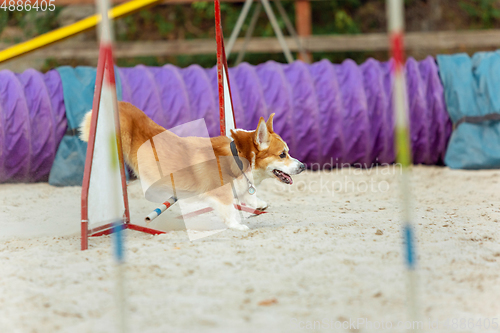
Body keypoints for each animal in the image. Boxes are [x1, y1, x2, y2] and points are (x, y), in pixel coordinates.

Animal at [82, 102, 304, 231]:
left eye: (288, 151)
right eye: (282, 154)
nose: (302, 166)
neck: (239, 158)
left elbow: (247, 195)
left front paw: (258, 203)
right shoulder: (218, 193)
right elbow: (228, 209)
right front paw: (237, 226)